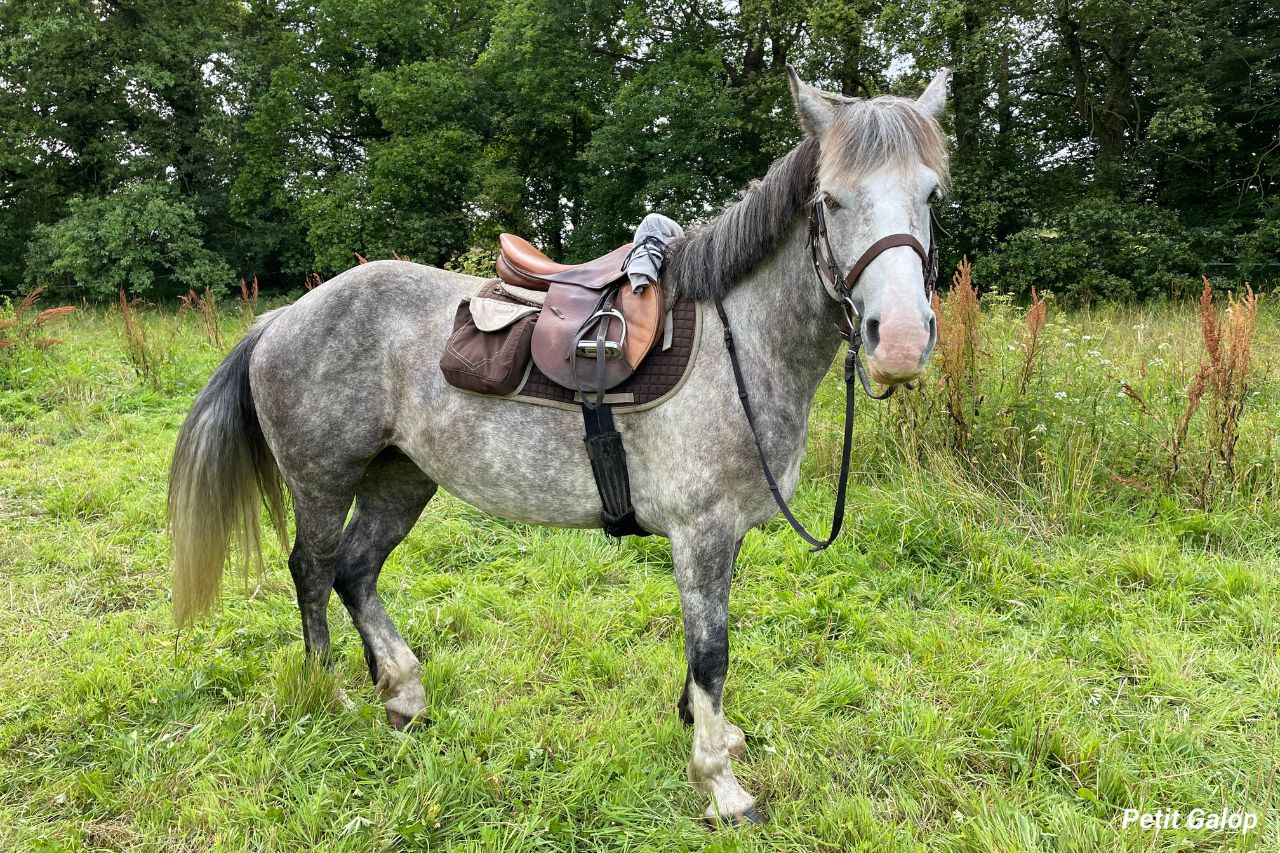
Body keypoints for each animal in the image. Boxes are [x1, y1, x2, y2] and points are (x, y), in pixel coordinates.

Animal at [168, 67, 950, 825]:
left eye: (932, 194)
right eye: (832, 200)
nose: (900, 341)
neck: (740, 343)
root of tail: (282, 317)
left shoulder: (725, 533)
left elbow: (708, 648)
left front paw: (711, 734)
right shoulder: (700, 530)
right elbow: (712, 652)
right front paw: (722, 786)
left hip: (402, 479)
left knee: (356, 571)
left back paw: (404, 692)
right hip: (322, 483)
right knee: (313, 569)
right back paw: (329, 691)